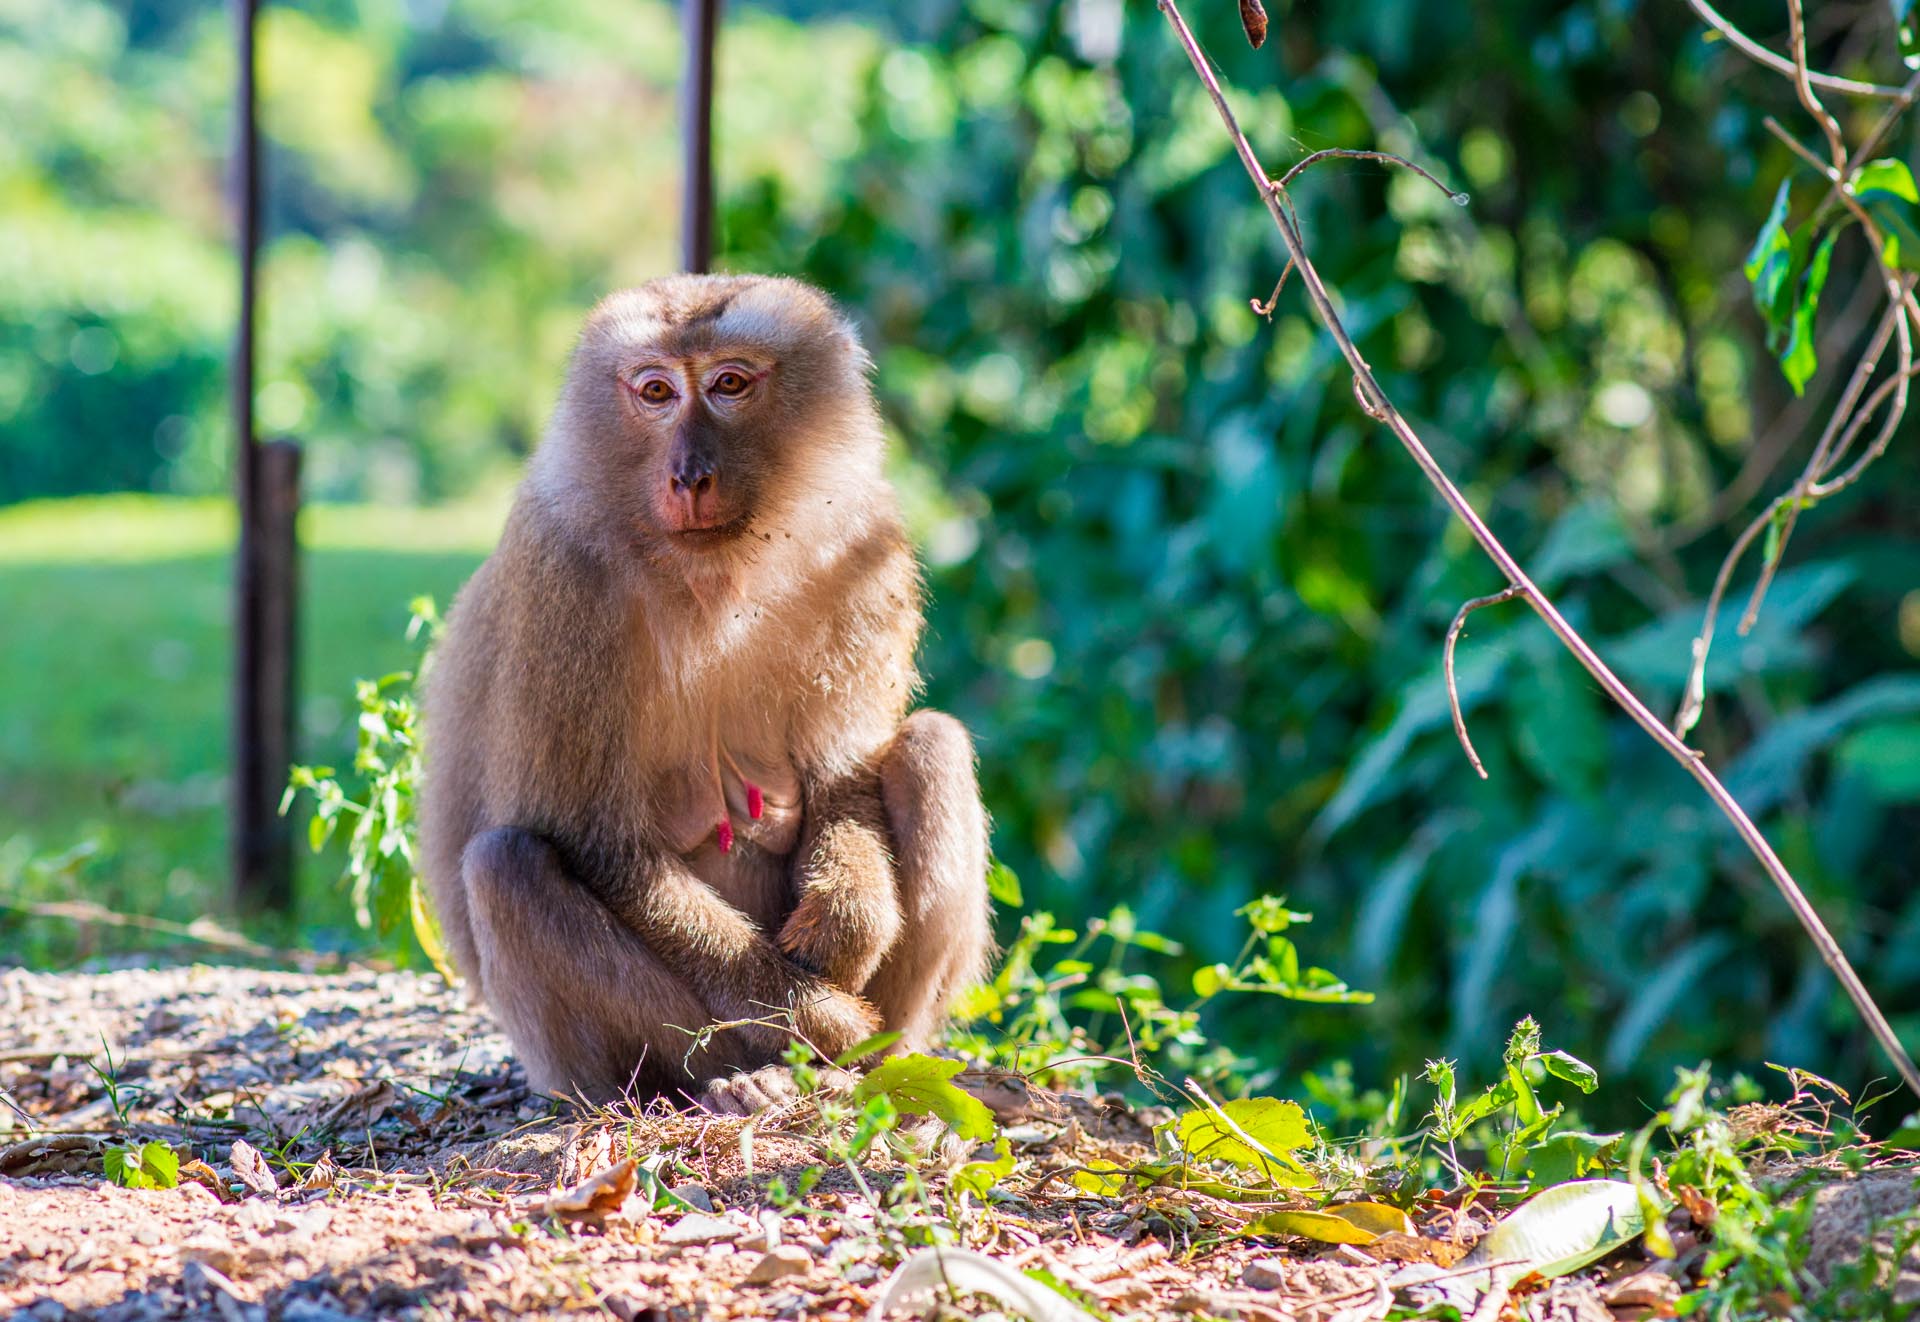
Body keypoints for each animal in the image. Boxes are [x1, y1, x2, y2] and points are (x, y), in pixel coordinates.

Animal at [416, 272, 990, 1105]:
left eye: (729, 385)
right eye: (656, 391)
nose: (688, 476)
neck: (716, 571)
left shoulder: (866, 544)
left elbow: (842, 774)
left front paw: (847, 921)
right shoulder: (561, 574)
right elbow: (601, 842)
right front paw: (820, 1016)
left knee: (931, 747)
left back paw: (872, 1067)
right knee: (507, 866)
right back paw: (730, 1086)